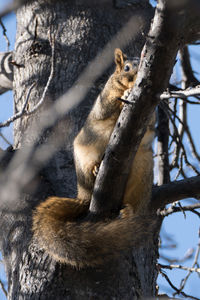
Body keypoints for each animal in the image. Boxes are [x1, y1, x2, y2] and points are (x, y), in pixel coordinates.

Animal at [32, 48, 155, 268]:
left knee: (135, 202)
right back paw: (95, 169)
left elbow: (150, 122)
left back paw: (129, 211)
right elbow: (106, 108)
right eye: (126, 68)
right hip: (83, 154)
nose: (134, 80)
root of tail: (83, 195)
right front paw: (124, 94)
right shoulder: (103, 100)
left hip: (143, 171)